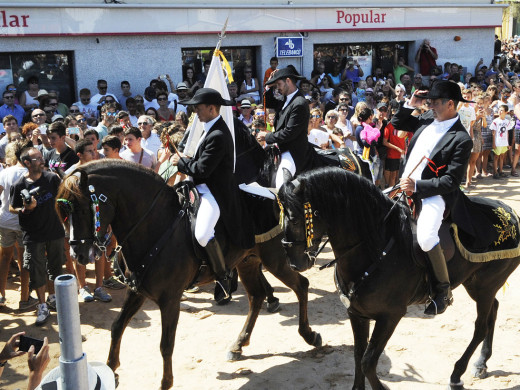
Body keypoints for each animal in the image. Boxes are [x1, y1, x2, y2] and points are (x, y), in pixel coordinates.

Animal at [53, 159, 320, 390]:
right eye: (64, 212)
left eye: (83, 207)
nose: (78, 254)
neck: (155, 225)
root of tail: (275, 194)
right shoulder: (137, 291)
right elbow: (118, 326)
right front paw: (111, 369)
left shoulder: (170, 299)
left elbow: (166, 344)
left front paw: (165, 383)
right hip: (248, 262)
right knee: (256, 297)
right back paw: (238, 344)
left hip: (276, 260)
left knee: (301, 285)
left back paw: (309, 335)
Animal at [278, 168, 520, 390]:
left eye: (296, 219)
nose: (294, 263)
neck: (374, 248)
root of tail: (509, 212)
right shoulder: (356, 313)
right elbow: (358, 355)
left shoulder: (390, 316)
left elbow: (367, 362)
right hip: (476, 284)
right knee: (493, 311)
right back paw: (482, 362)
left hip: (485, 286)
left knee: (481, 326)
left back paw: (457, 374)